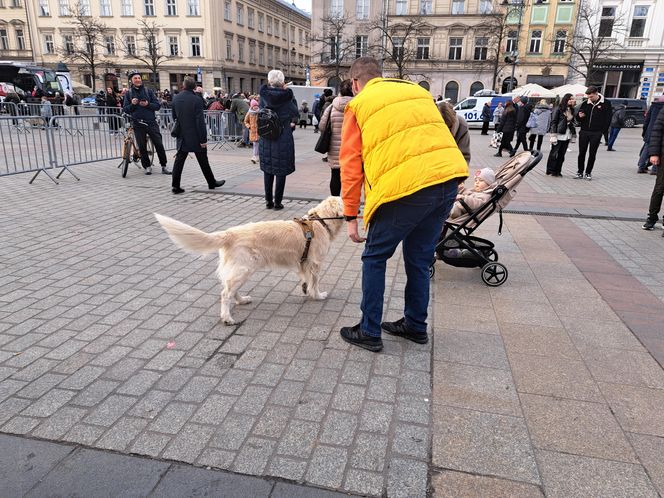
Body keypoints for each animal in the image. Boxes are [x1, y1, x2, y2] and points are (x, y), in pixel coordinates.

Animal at [154, 196, 344, 324]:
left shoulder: (304, 263)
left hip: (242, 269)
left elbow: (306, 279)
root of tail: (228, 233)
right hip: (243, 269)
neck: (321, 222)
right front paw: (318, 295)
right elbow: (315, 282)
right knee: (225, 293)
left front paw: (306, 290)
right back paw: (227, 318)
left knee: (230, 289)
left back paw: (242, 300)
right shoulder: (315, 263)